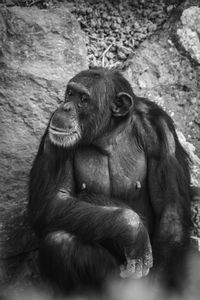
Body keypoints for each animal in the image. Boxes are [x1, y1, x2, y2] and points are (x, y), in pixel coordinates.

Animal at [28, 67, 192, 292]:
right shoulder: (53, 138)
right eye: (70, 93)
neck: (108, 134)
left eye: (83, 99)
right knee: (59, 242)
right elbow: (53, 199)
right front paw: (132, 228)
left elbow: (171, 212)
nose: (65, 107)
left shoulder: (162, 132)